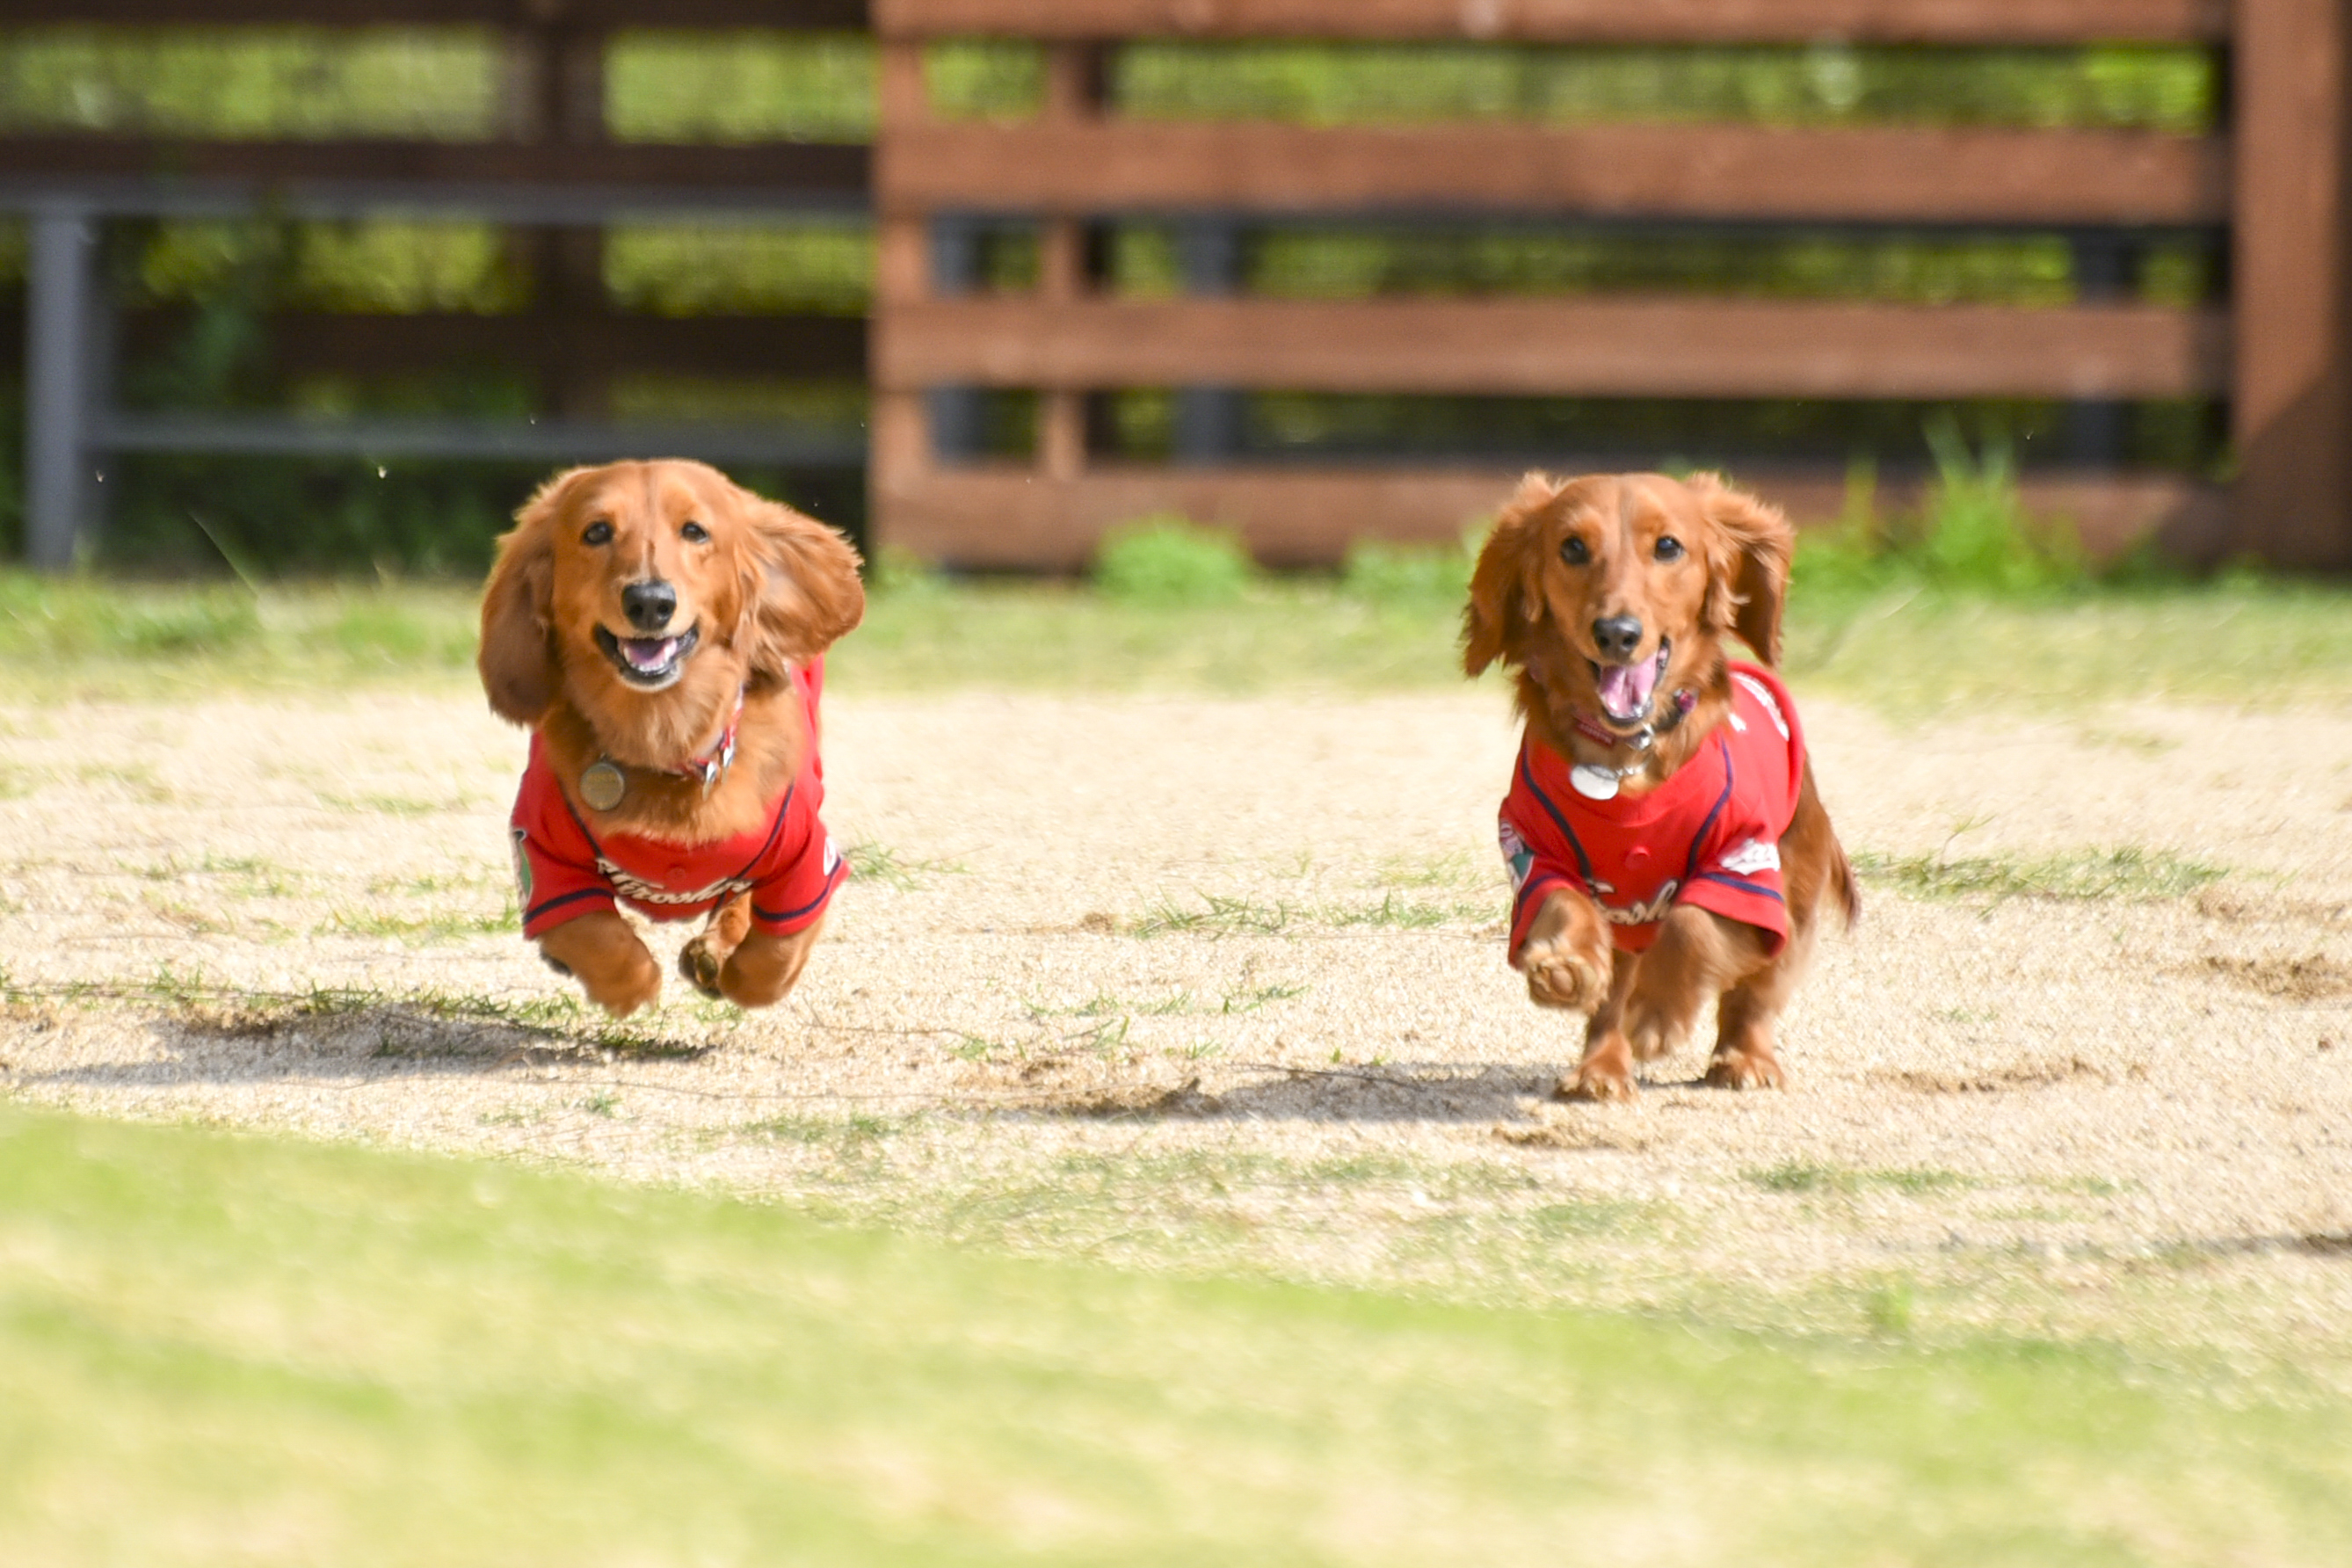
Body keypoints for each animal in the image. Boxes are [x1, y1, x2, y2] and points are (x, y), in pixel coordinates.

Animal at [475, 455, 865, 1020]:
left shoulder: (807, 857)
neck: (665, 737)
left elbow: (775, 953)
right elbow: (592, 933)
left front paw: (735, 972)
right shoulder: (540, 854)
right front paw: (630, 985)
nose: (649, 602)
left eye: (695, 531)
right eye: (596, 532)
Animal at [1458, 472, 1862, 1100]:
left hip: (1792, 898)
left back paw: (1744, 1060)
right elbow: (1565, 905)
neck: (1627, 762)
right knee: (1613, 999)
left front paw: (1655, 1015)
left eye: (1668, 547)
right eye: (1572, 547)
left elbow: (1691, 926)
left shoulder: (1743, 869)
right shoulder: (1532, 850)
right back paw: (1600, 1068)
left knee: (1754, 996)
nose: (1616, 634)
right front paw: (1566, 967)